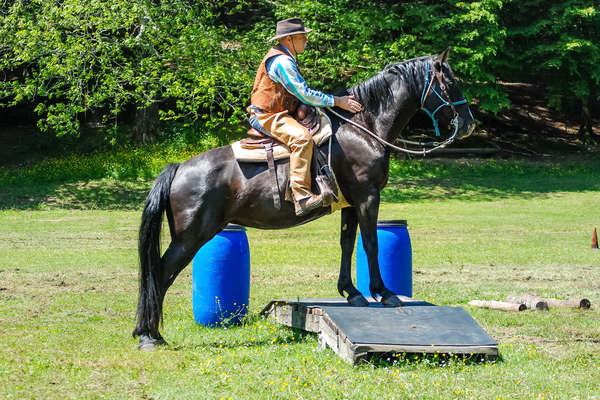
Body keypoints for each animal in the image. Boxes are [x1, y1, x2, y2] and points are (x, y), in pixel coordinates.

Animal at [134, 48, 476, 348]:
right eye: (450, 83)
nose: (469, 124)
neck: (363, 129)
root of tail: (179, 168)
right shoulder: (368, 197)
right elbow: (370, 243)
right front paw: (383, 293)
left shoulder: (351, 203)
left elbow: (347, 244)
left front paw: (351, 292)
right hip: (190, 237)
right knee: (159, 274)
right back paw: (148, 336)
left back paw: (150, 333)